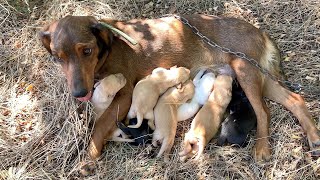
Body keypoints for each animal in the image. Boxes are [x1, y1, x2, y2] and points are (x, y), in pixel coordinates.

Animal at [40, 14, 320, 162]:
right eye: (58, 57)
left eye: (86, 51)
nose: (78, 93)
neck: (108, 48)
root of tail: (259, 31)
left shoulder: (126, 92)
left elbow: (100, 123)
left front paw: (89, 156)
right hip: (258, 76)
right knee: (295, 100)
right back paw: (314, 137)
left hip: (246, 70)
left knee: (263, 112)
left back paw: (262, 148)